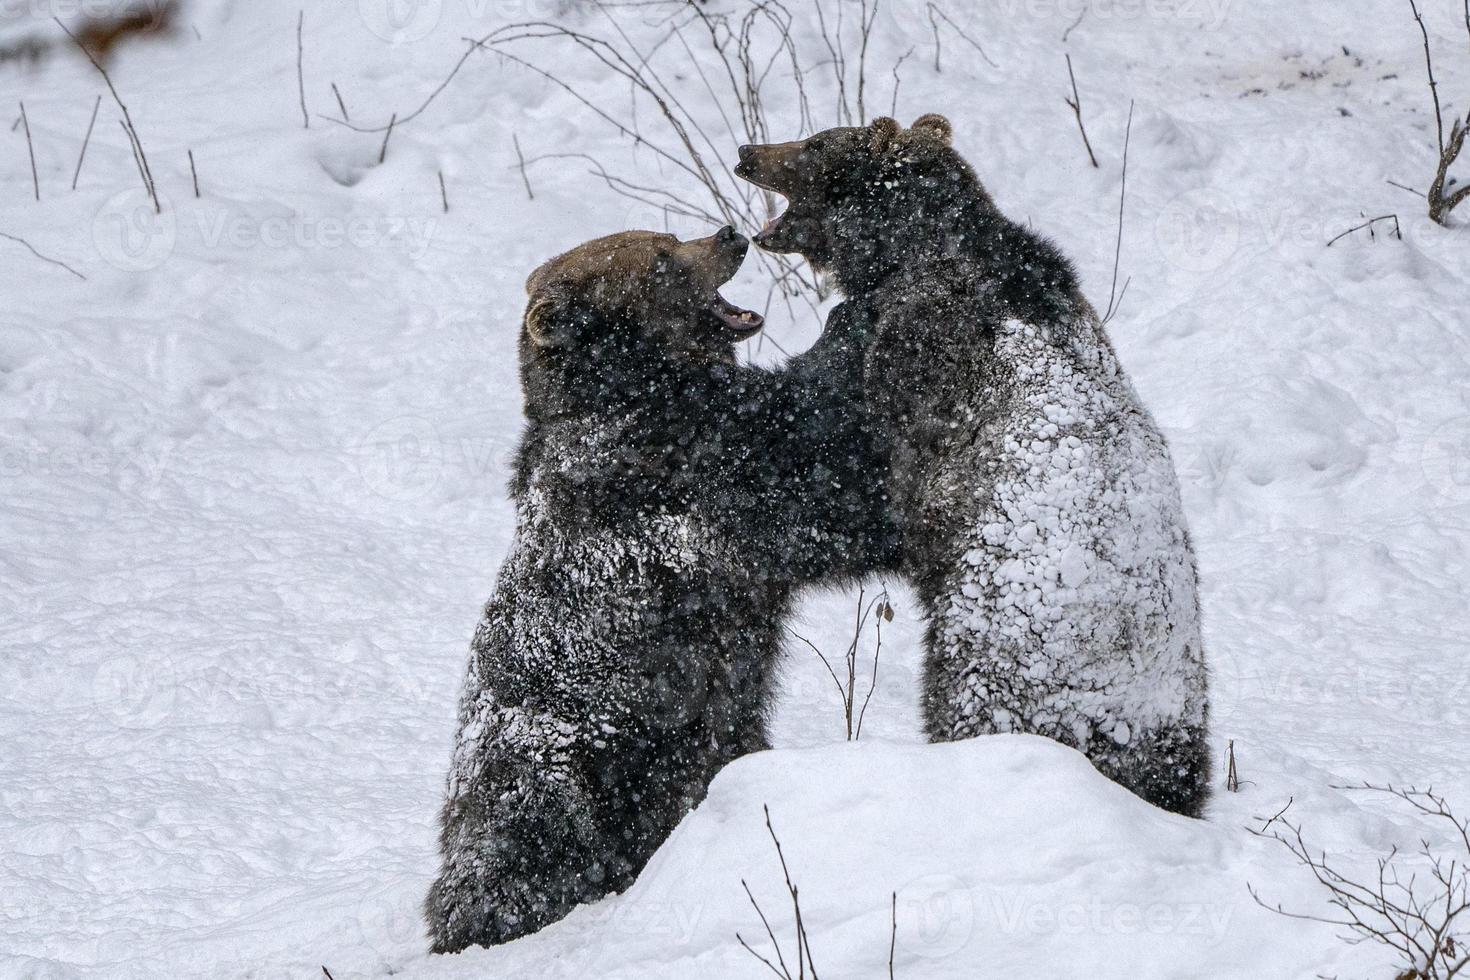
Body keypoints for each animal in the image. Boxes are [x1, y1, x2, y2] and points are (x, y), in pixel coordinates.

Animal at [426, 224, 893, 952]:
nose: (729, 234)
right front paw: (853, 318)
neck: (641, 389)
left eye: (668, 236)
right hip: (559, 766)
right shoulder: (684, 475)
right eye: (663, 259)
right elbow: (817, 476)